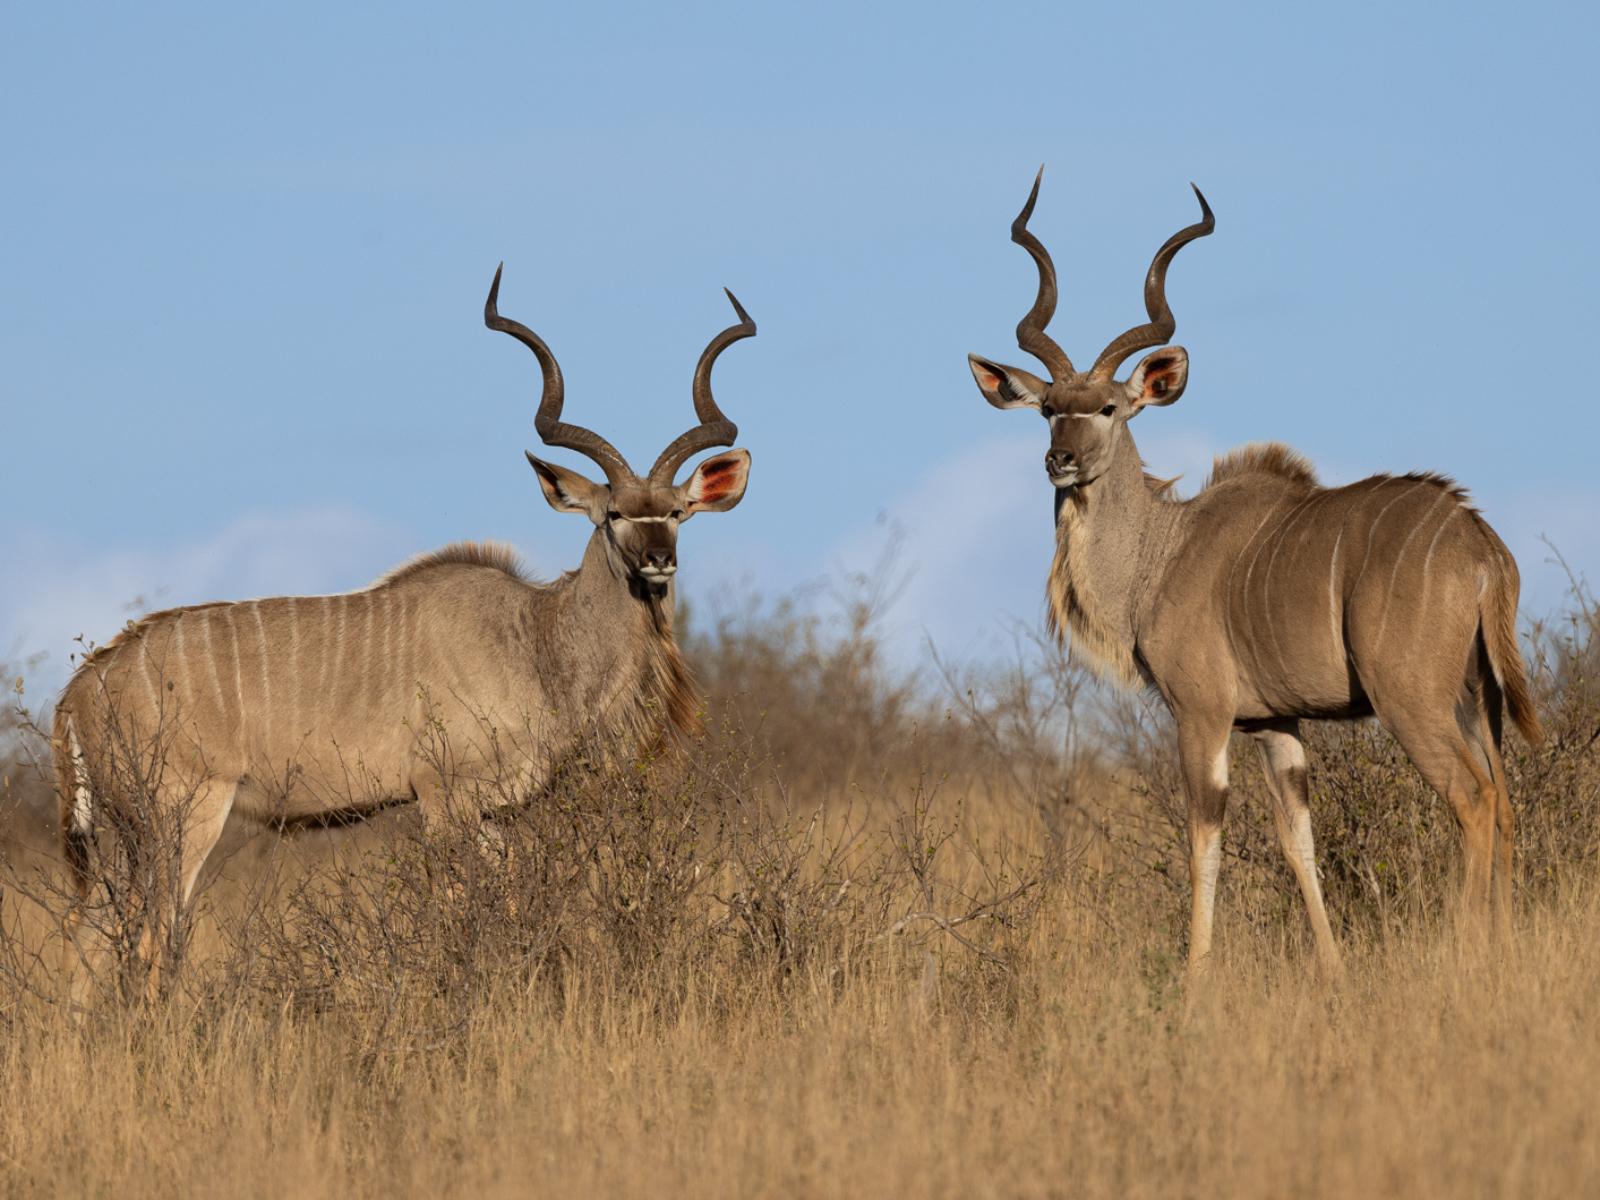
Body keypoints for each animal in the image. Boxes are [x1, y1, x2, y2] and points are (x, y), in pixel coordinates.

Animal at [56, 267, 755, 972]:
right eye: (613, 515)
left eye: (677, 512)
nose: (659, 561)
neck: (534, 637)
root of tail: (81, 690)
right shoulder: (444, 801)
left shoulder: (491, 814)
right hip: (181, 818)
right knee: (149, 940)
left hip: (125, 837)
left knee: (88, 937)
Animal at [966, 173, 1542, 979]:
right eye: (1049, 408)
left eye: (1109, 407)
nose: (1061, 460)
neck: (1161, 553)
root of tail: (1480, 544)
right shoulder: (1277, 725)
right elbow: (1299, 842)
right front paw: (1334, 972)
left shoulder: (1202, 714)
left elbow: (1203, 843)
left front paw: (1194, 979)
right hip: (1476, 696)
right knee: (1508, 801)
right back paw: (1505, 948)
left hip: (1412, 701)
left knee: (1473, 799)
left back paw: (1464, 951)